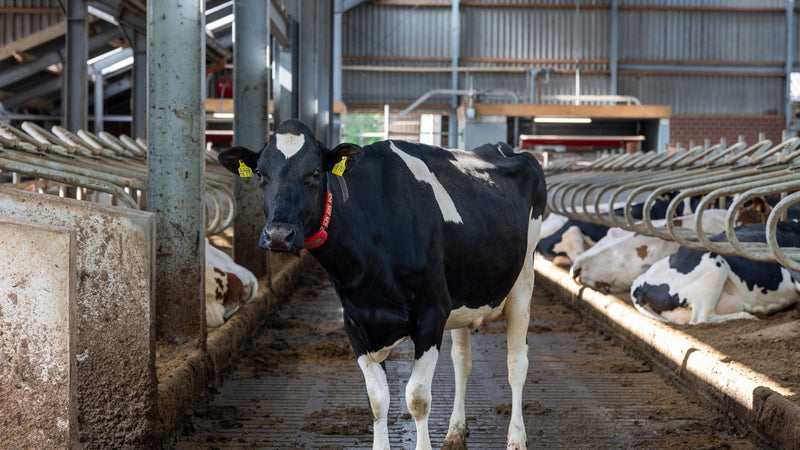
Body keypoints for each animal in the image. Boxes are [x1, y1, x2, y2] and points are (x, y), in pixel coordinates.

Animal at [217, 119, 547, 449]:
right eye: (261, 174)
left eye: (315, 172)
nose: (278, 235)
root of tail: (500, 147)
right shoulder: (356, 323)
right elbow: (377, 399)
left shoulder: (432, 313)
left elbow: (417, 398)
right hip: (465, 295)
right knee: (462, 362)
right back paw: (455, 432)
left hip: (523, 280)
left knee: (517, 363)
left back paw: (516, 438)